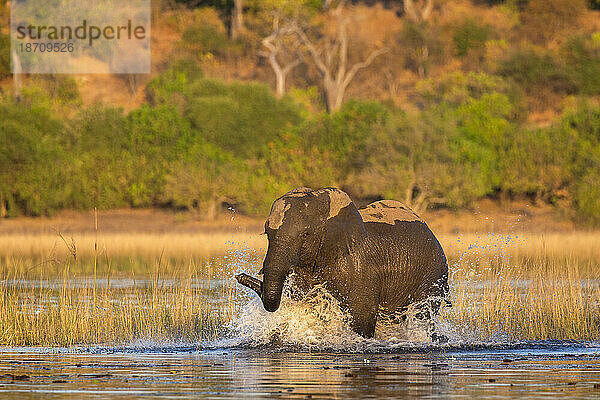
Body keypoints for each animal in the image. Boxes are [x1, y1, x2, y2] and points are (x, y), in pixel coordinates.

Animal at [237, 188, 448, 338]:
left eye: (306, 234)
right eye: (267, 233)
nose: (239, 276)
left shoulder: (361, 267)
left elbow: (362, 318)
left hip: (433, 274)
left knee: (422, 315)